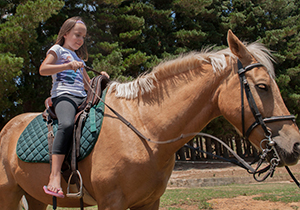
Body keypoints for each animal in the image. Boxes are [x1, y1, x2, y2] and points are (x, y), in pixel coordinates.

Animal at [0, 30, 300, 210]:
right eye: (262, 86)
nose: (295, 145)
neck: (145, 130)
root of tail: (7, 129)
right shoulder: (112, 203)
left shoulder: (149, 202)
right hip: (8, 194)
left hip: (34, 196)